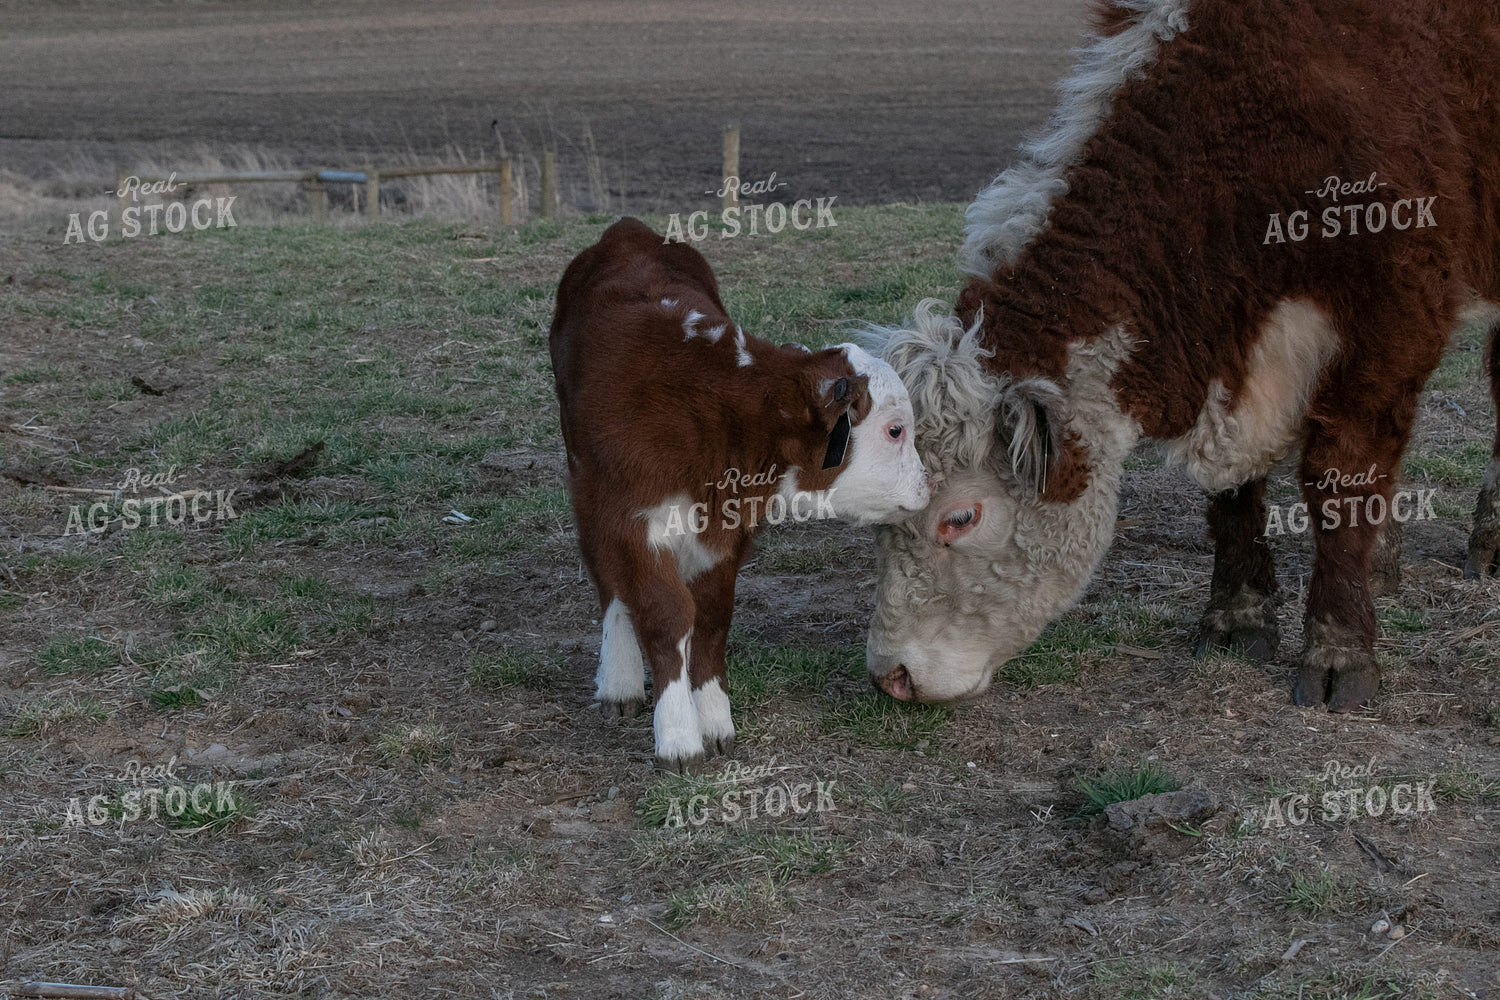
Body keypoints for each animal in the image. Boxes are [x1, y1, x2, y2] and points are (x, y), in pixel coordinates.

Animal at [551, 217, 929, 770]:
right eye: (896, 430)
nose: (927, 485)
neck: (714, 412)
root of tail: (628, 230)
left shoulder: (725, 535)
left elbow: (711, 619)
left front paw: (713, 720)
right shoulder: (635, 519)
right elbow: (665, 615)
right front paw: (677, 735)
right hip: (589, 489)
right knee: (611, 582)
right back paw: (619, 680)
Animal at [862, 0, 1500, 710]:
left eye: (961, 517)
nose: (890, 675)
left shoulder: (1390, 325)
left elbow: (1342, 479)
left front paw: (1338, 649)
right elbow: (1233, 493)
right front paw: (1236, 619)